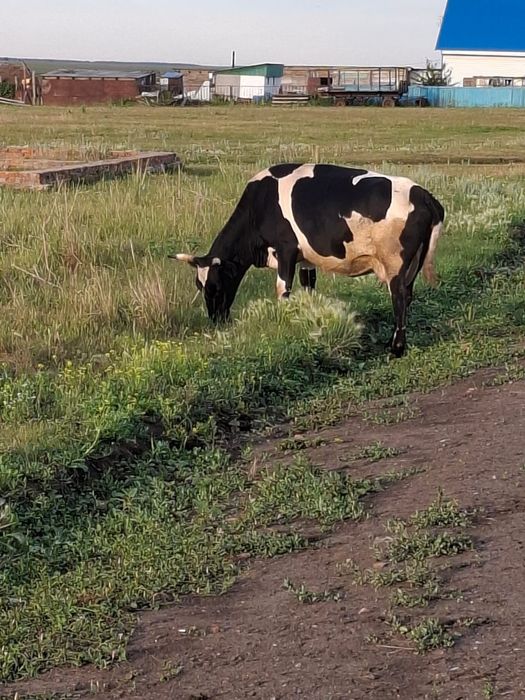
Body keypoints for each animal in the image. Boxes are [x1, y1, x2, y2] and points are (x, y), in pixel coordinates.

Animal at [173, 163, 444, 357]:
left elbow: (283, 288)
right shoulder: (305, 258)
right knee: (408, 296)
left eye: (216, 286)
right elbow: (308, 287)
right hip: (414, 263)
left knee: (398, 297)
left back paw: (396, 348)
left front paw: (284, 321)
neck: (259, 205)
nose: (216, 319)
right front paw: (309, 320)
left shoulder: (286, 250)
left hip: (395, 263)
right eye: (199, 286)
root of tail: (424, 195)